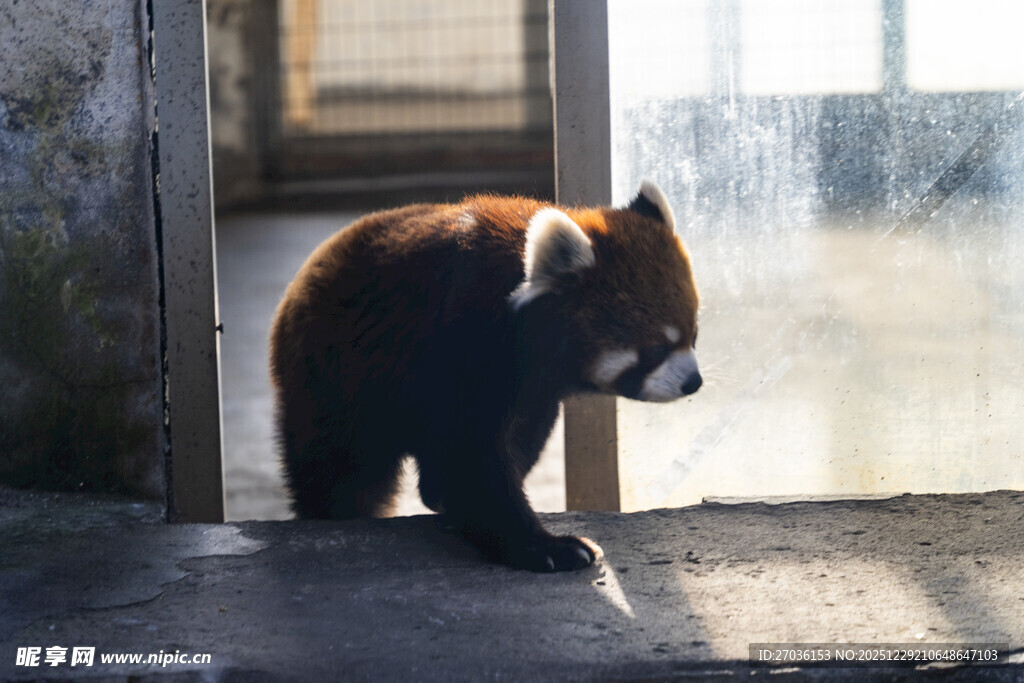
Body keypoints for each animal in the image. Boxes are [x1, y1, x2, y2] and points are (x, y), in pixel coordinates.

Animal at [269, 180, 701, 572]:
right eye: (656, 349)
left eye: (693, 335)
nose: (693, 382)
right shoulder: (464, 341)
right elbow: (474, 458)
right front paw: (543, 548)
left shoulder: (534, 390)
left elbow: (514, 442)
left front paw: (455, 505)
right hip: (333, 378)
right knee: (342, 469)